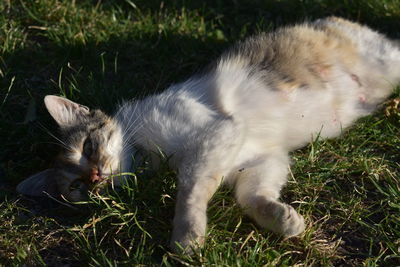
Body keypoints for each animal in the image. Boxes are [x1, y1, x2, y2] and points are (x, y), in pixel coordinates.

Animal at [15, 17, 400, 253]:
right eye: (76, 186)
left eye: (88, 148)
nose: (95, 177)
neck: (144, 152)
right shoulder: (261, 158)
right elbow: (251, 195)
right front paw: (282, 219)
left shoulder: (215, 134)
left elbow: (190, 188)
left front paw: (186, 236)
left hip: (387, 57)